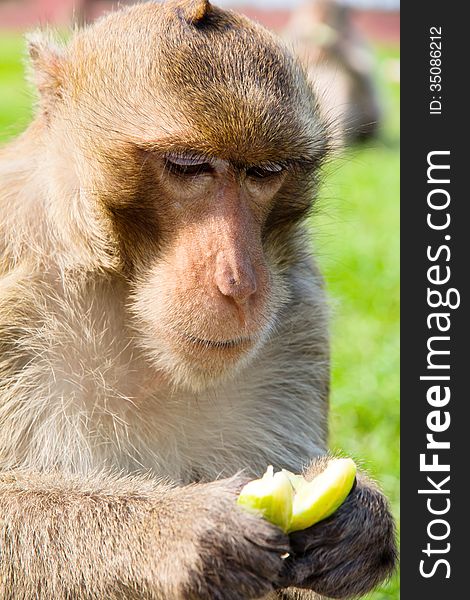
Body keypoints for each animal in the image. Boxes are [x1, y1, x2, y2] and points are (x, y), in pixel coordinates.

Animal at [0, 1, 396, 600]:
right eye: (188, 165)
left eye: (264, 172)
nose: (239, 282)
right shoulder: (14, 290)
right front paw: (183, 533)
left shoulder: (299, 314)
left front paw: (360, 524)